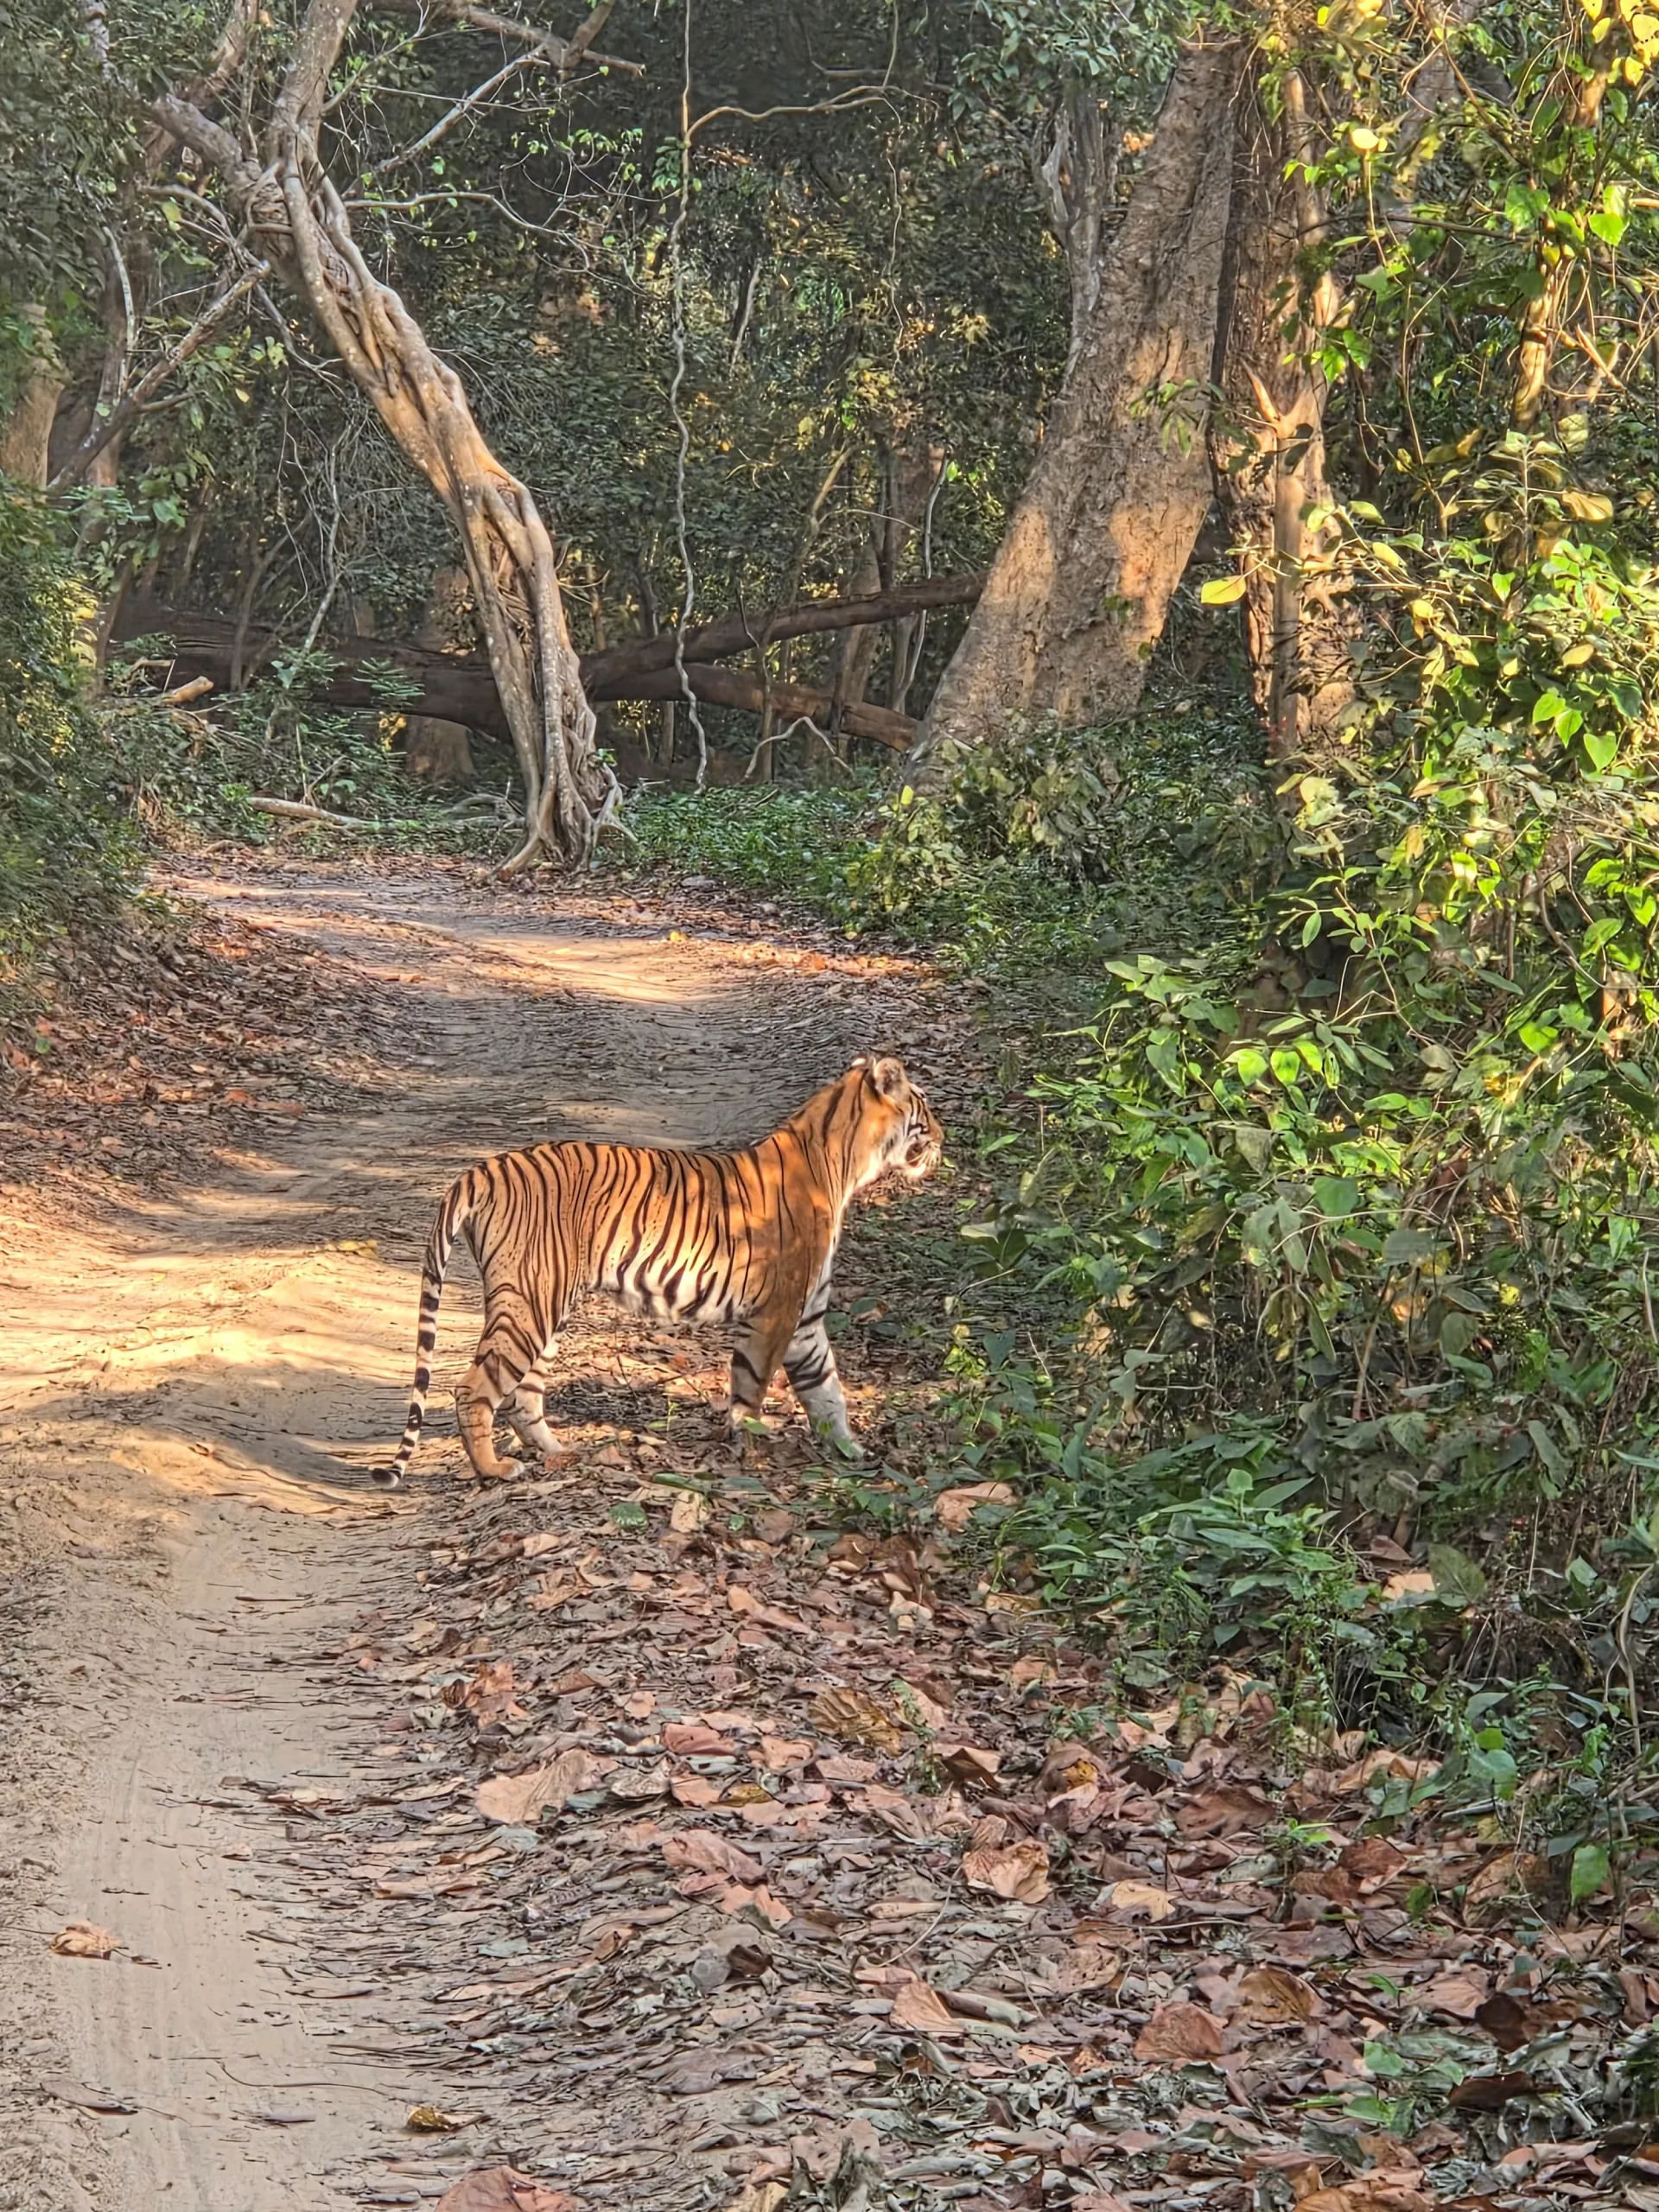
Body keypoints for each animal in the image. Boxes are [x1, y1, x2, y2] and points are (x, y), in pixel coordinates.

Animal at [375, 1055, 943, 1486]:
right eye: (924, 1107)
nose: (943, 1137)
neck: (845, 1164)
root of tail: (482, 1168)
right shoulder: (774, 1314)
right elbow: (753, 1391)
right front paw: (749, 1456)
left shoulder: (804, 1320)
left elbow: (827, 1392)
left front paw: (853, 1454)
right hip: (531, 1301)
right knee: (475, 1388)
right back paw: (495, 1470)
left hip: (544, 1307)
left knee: (522, 1394)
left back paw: (560, 1453)